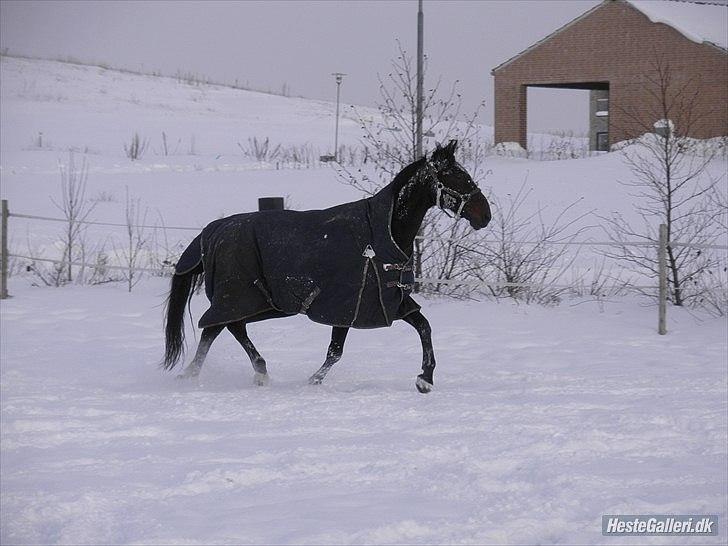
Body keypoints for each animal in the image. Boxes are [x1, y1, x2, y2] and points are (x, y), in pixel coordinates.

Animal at [163, 138, 492, 388]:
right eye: (457, 177)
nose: (485, 215)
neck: (381, 236)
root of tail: (215, 230)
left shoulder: (389, 302)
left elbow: (424, 327)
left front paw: (425, 379)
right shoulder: (348, 304)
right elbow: (336, 351)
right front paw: (313, 381)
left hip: (257, 301)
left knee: (221, 328)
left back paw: (209, 374)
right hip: (241, 295)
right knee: (224, 326)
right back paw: (247, 372)